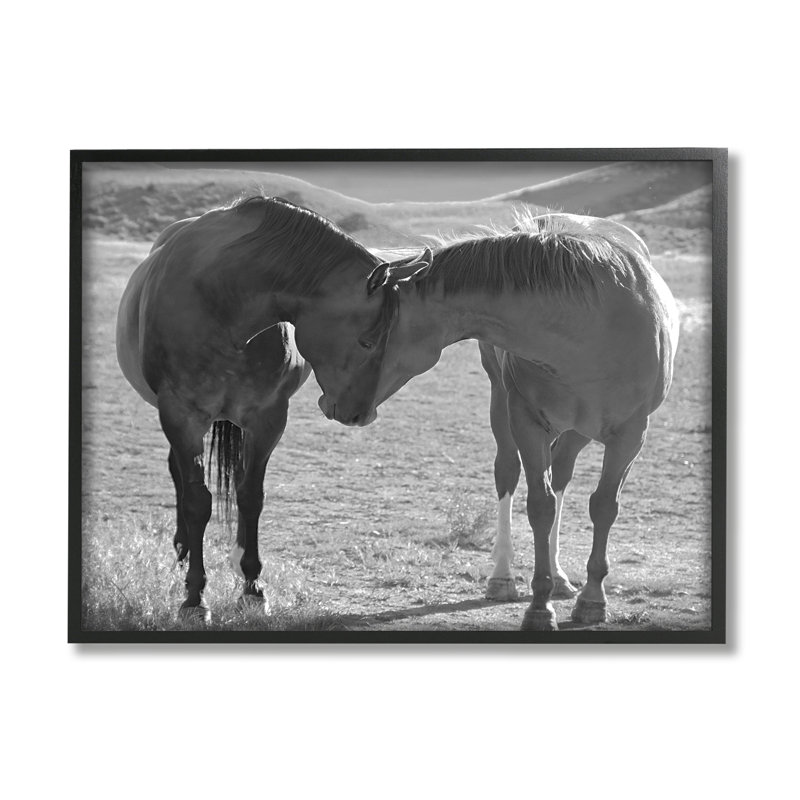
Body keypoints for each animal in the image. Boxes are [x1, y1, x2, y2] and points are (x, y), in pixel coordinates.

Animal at [116, 195, 429, 622]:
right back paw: (182, 549)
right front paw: (194, 597)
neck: (221, 301)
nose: (360, 414)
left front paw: (252, 587)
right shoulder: (180, 416)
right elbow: (198, 502)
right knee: (179, 477)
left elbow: (251, 496)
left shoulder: (267, 418)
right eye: (367, 341)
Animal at [346, 211, 680, 632]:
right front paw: (539, 607)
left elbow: (603, 506)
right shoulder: (526, 422)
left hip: (578, 430)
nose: (340, 405)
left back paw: (560, 577)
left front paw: (592, 600)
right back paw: (503, 577)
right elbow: (540, 506)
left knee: (562, 475)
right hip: (502, 402)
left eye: (367, 339)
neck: (589, 326)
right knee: (508, 471)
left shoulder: (631, 435)